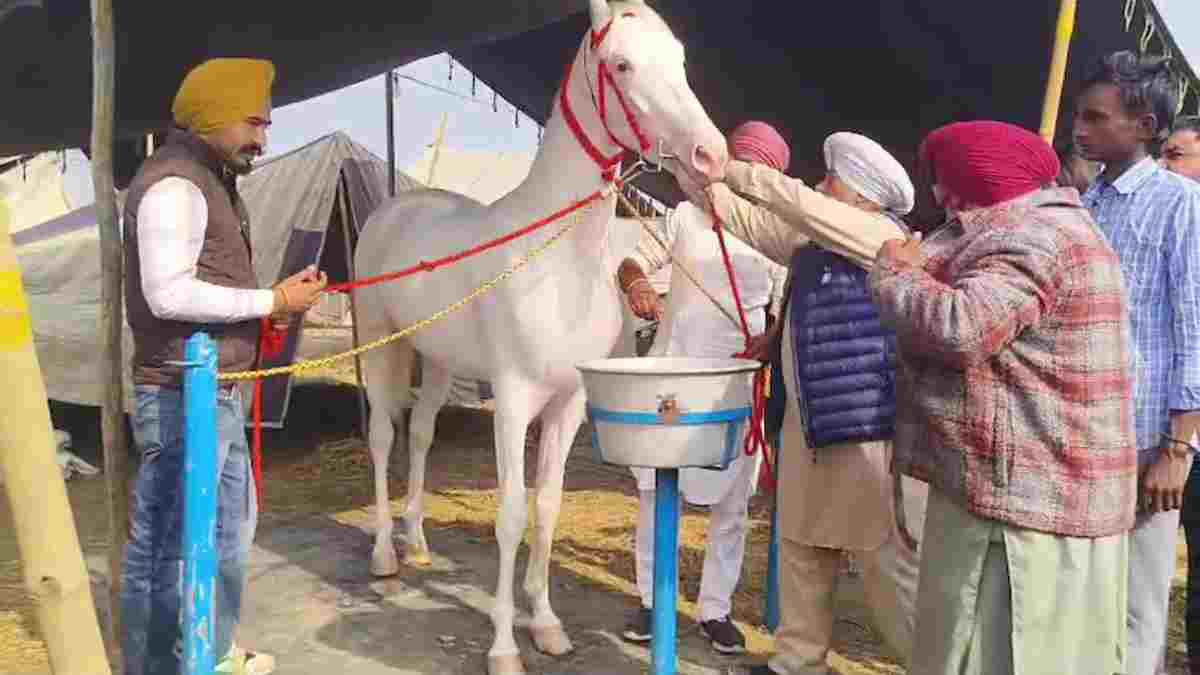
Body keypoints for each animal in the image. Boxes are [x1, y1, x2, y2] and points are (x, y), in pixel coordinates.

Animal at [353, 2, 726, 672]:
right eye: (621, 65)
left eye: (681, 60)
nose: (711, 155)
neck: (556, 261)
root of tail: (392, 210)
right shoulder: (513, 399)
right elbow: (511, 513)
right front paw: (504, 646)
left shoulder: (568, 403)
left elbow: (547, 509)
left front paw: (546, 624)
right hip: (380, 343)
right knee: (382, 437)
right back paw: (385, 555)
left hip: (439, 361)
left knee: (419, 436)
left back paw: (416, 541)